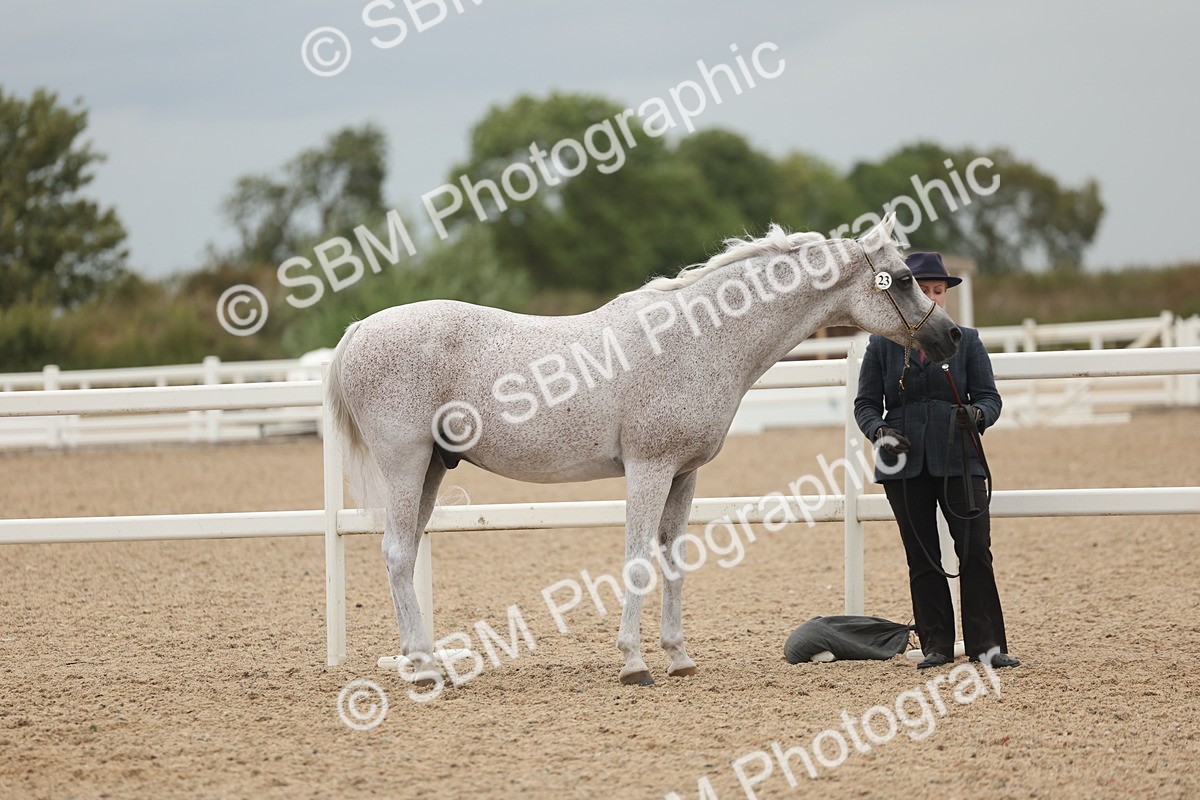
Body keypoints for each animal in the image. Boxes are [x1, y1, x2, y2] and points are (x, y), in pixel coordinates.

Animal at [325, 212, 961, 686]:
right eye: (902, 278)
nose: (950, 336)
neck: (694, 338)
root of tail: (357, 331)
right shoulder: (648, 469)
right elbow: (635, 560)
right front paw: (633, 662)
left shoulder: (683, 475)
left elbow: (673, 561)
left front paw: (678, 656)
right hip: (406, 464)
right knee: (397, 555)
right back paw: (425, 669)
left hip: (432, 468)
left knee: (404, 554)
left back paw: (427, 662)